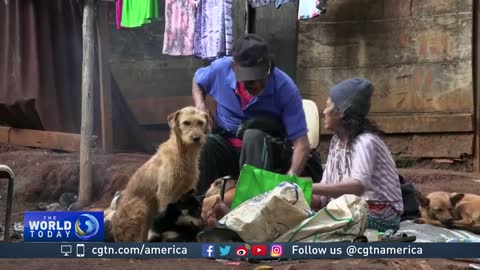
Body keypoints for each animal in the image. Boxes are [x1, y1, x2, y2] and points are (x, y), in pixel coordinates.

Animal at [112, 106, 212, 242]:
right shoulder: (166, 193)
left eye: (201, 123)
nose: (196, 138)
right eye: (186, 123)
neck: (183, 155)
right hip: (141, 207)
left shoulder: (188, 189)